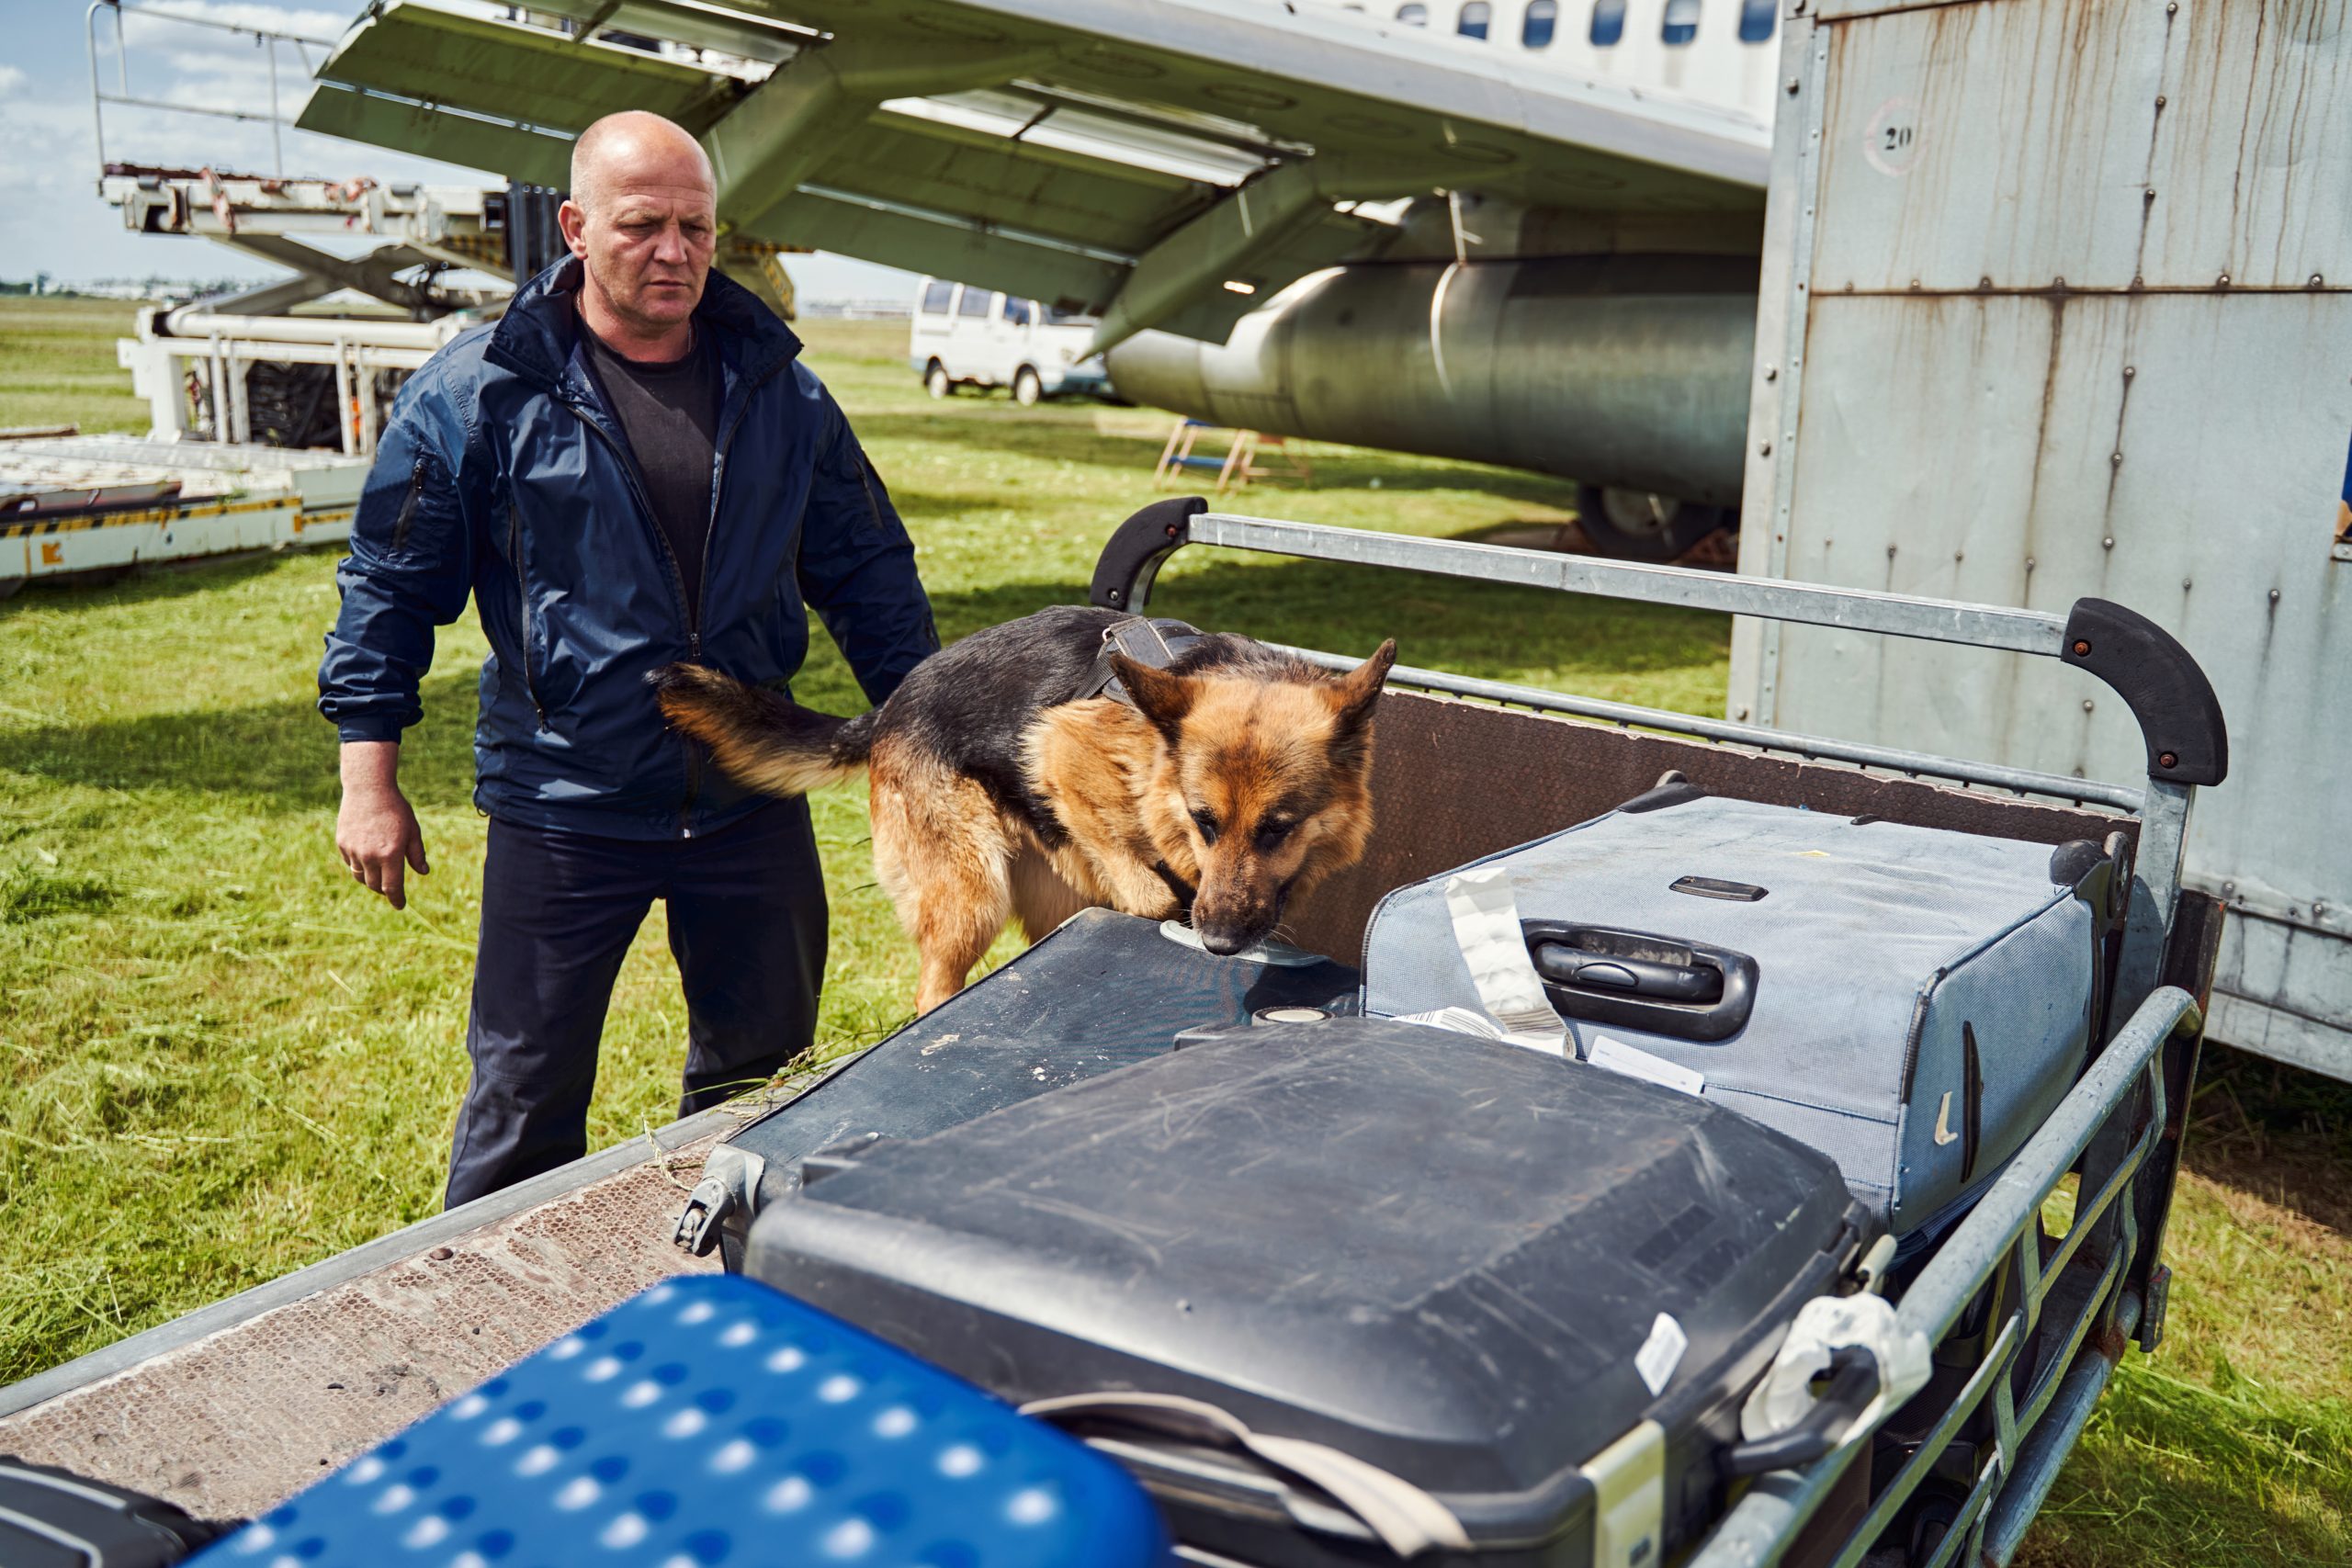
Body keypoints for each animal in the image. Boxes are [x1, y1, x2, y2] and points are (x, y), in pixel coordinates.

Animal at [653, 606, 1383, 1010]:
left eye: (1278, 829)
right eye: (1205, 821)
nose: (1220, 943)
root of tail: (887, 709)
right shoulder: (1059, 742)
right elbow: (1143, 884)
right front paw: (1156, 895)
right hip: (972, 892)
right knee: (935, 988)